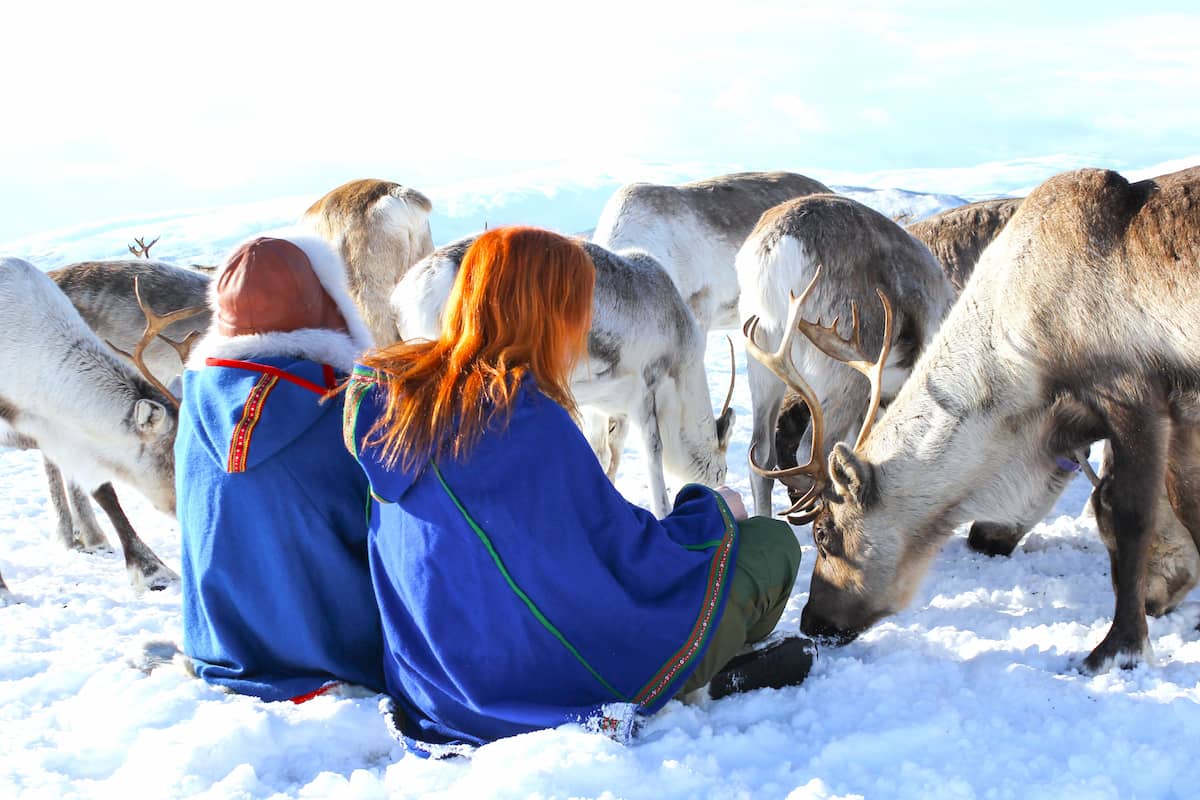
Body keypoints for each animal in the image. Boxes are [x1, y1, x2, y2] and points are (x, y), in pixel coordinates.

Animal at [393, 234, 735, 519]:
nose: (720, 482)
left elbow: (602, 452)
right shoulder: (643, 392)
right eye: (722, 469)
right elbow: (653, 453)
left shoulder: (600, 403)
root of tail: (416, 286)